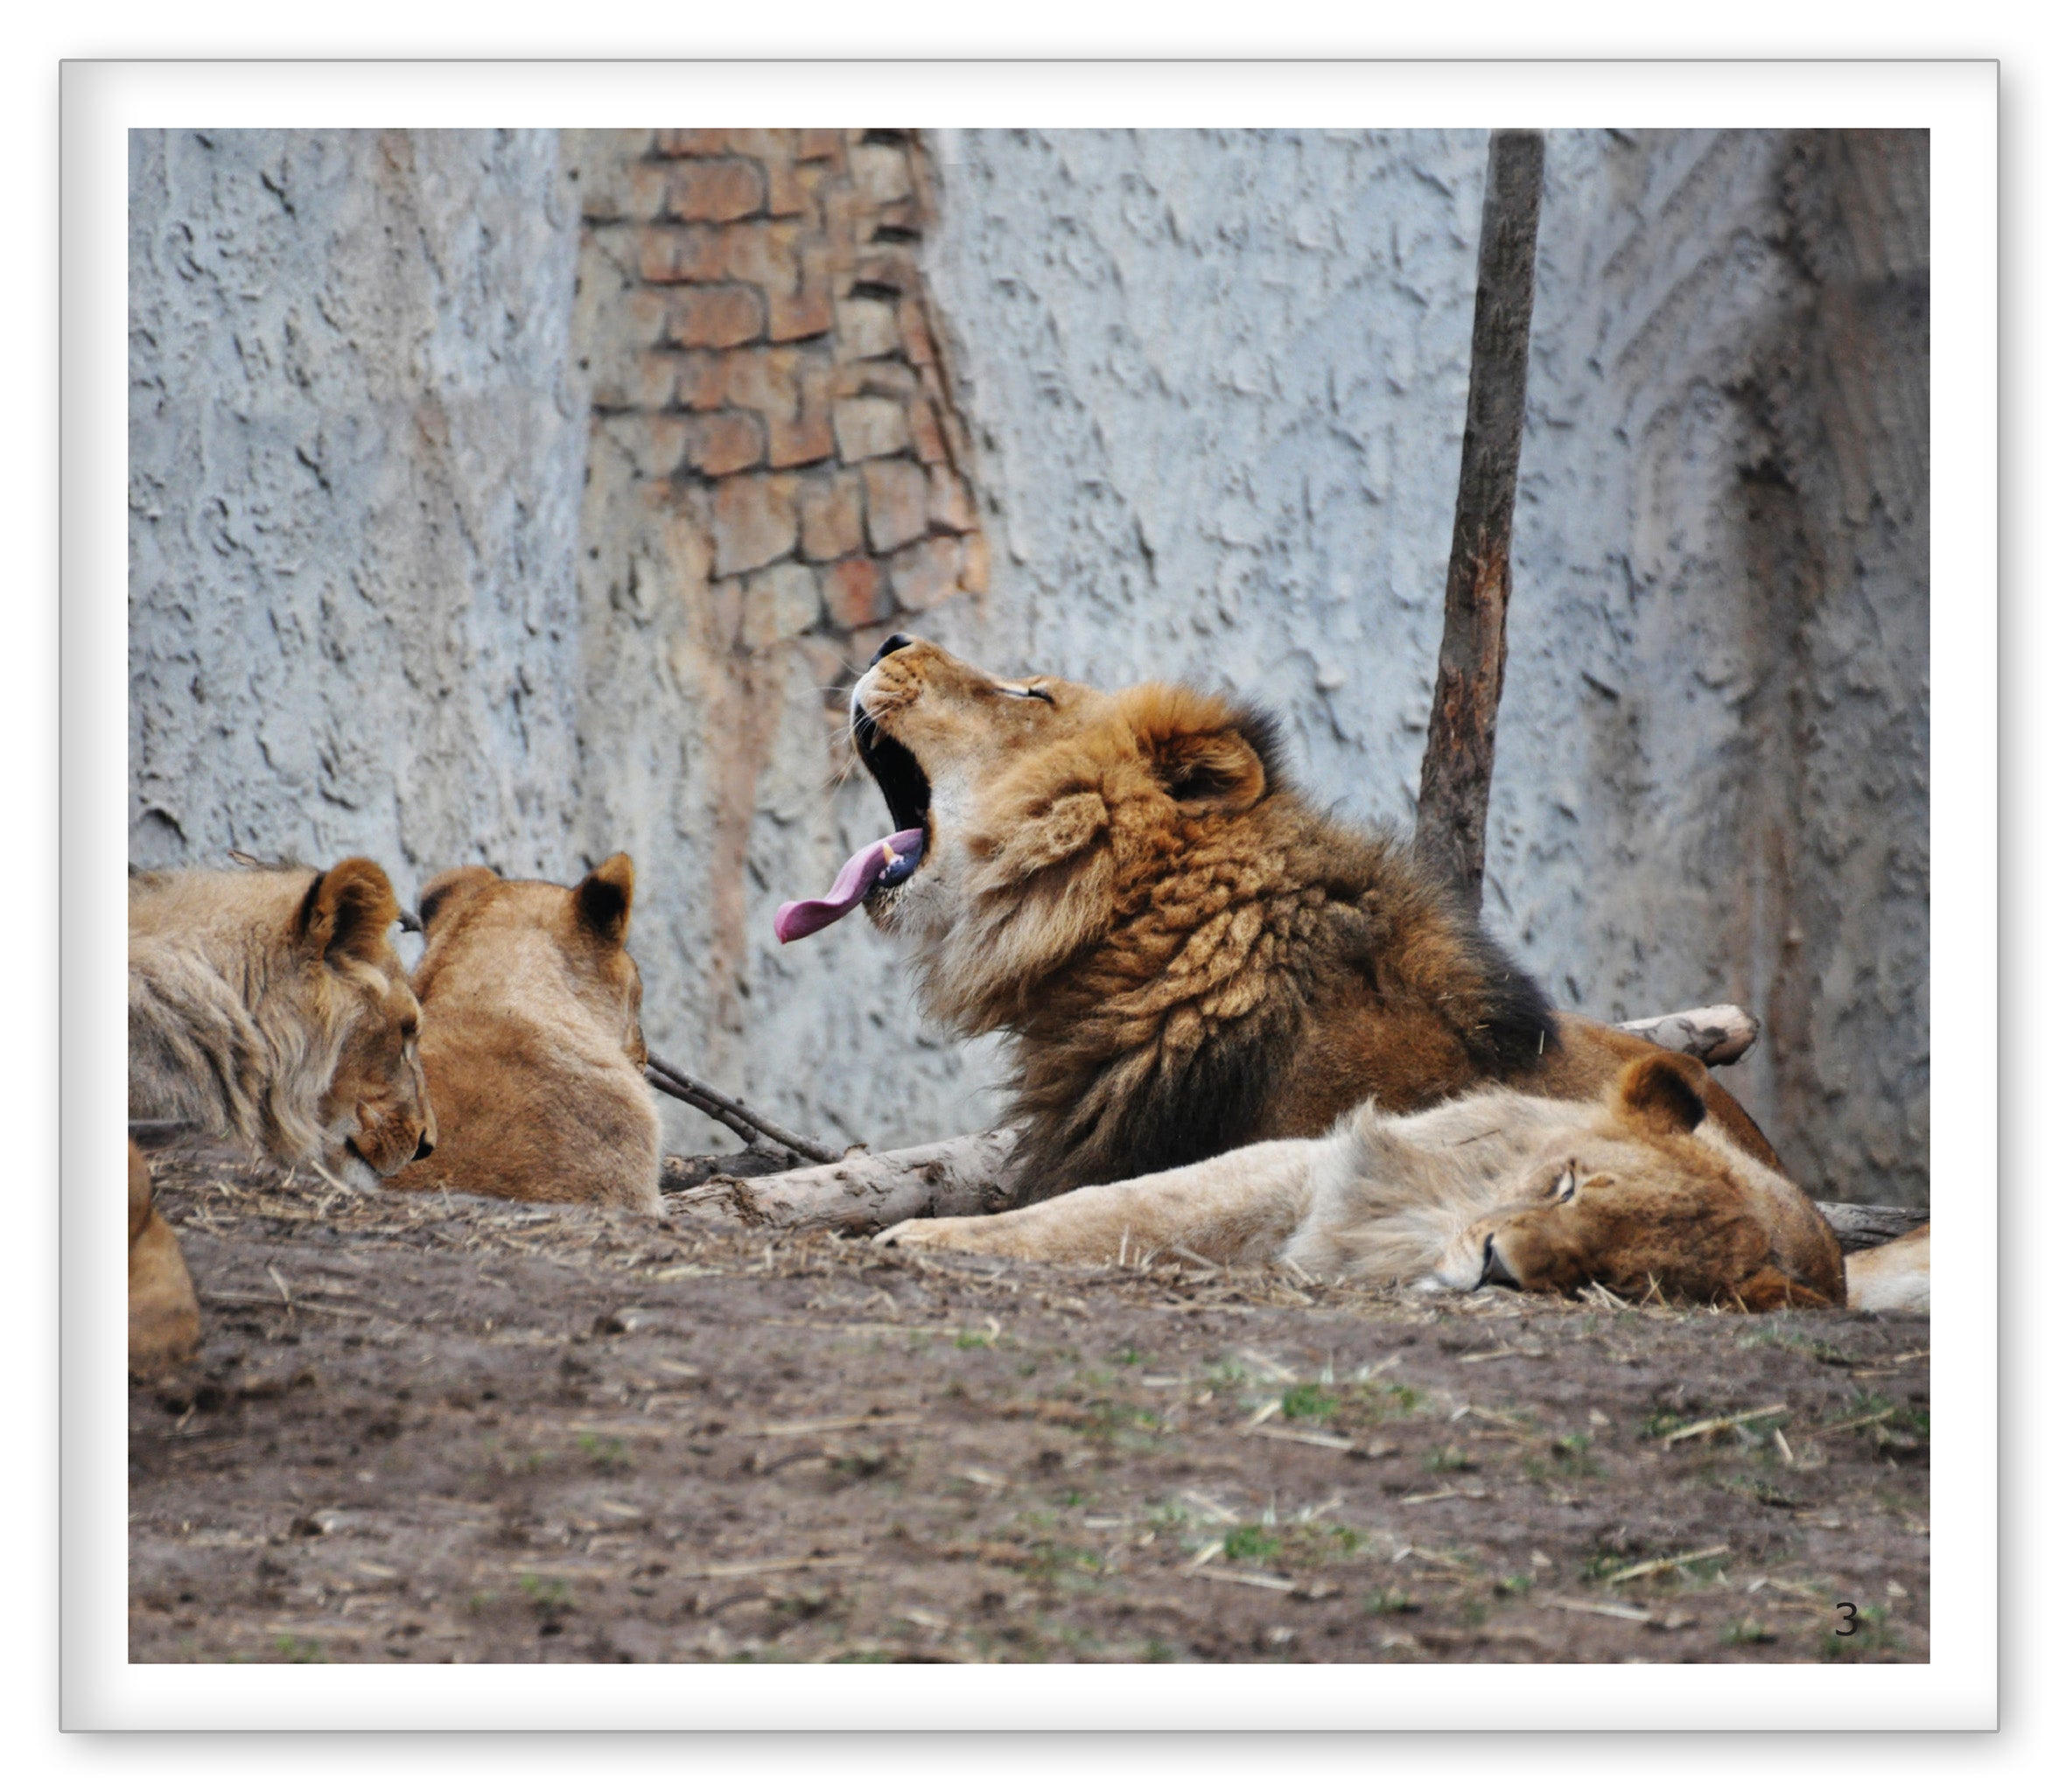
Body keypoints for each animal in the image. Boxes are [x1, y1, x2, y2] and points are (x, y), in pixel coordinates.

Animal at [881, 1053, 1847, 1312]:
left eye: (1616, 1277)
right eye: (1567, 1186)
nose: (1498, 1268)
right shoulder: (1308, 1170)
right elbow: (1111, 1209)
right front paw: (919, 1235)